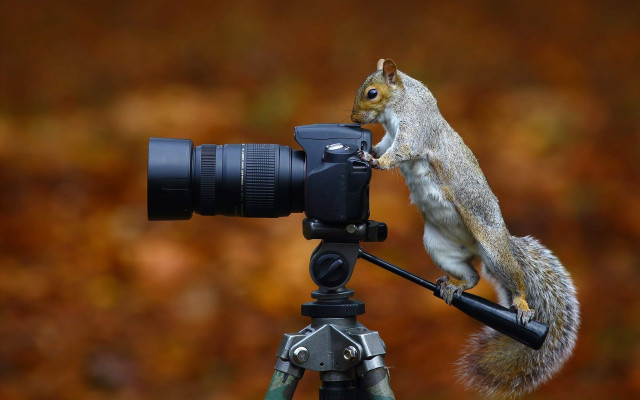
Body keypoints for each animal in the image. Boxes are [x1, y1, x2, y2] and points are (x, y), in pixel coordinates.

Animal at [351, 59, 580, 398]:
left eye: (372, 93)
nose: (353, 120)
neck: (403, 100)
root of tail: (492, 243)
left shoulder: (415, 129)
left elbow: (399, 152)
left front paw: (371, 159)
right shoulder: (390, 135)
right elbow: (384, 147)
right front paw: (371, 153)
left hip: (494, 252)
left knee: (516, 280)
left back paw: (522, 306)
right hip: (439, 246)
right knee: (473, 276)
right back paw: (455, 286)